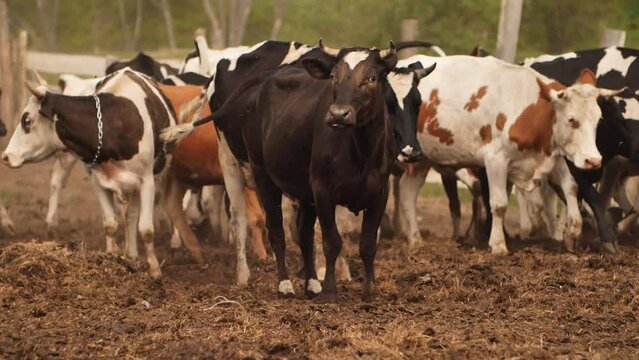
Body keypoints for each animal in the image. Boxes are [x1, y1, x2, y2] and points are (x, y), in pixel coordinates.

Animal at [1, 69, 176, 278]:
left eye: (27, 120)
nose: (5, 157)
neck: (112, 125)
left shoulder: (147, 181)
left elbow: (147, 229)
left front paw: (155, 270)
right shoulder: (98, 181)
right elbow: (110, 224)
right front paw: (111, 259)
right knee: (130, 215)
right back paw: (131, 254)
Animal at [396, 54, 624, 255]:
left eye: (598, 119)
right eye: (571, 119)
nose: (593, 160)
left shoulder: (555, 156)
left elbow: (571, 188)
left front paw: (571, 232)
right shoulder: (495, 160)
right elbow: (499, 204)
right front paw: (498, 245)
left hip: (422, 159)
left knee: (407, 191)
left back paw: (415, 239)